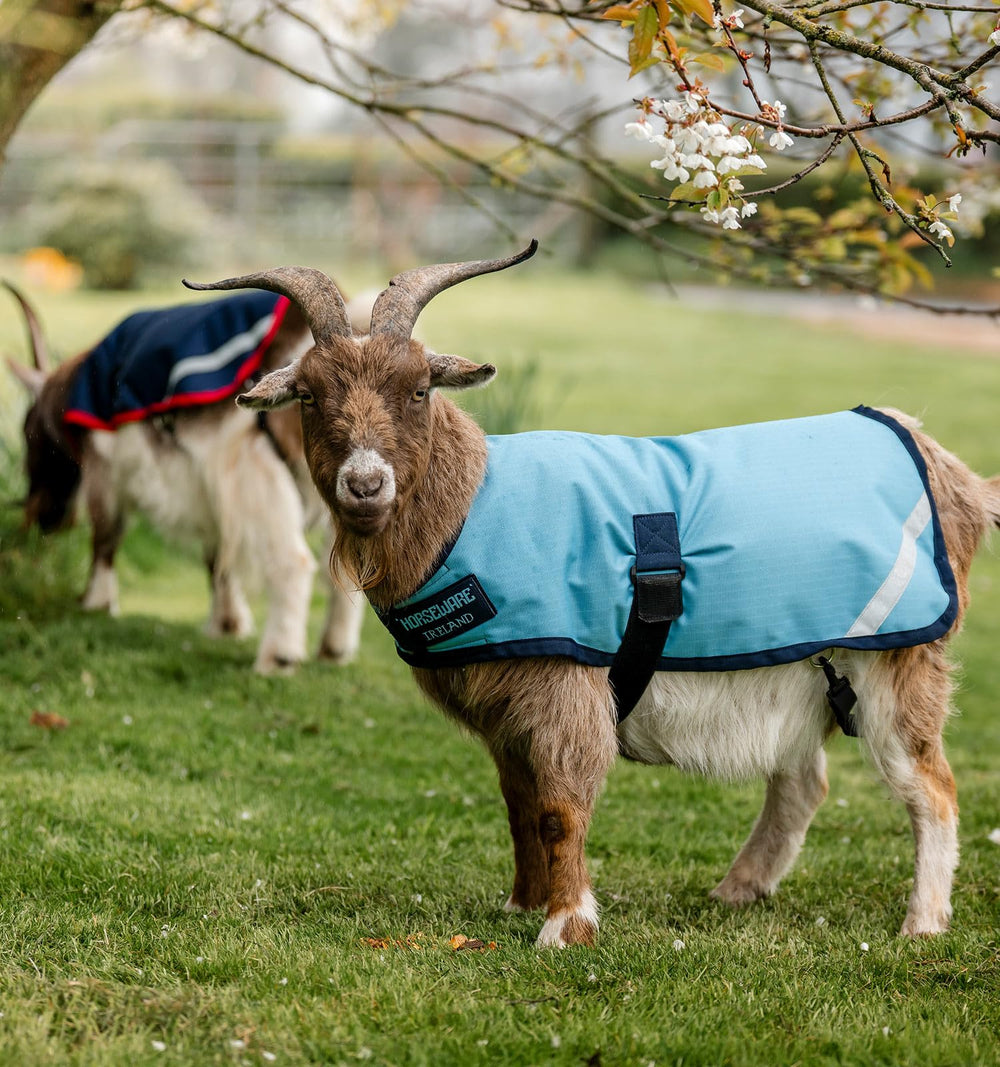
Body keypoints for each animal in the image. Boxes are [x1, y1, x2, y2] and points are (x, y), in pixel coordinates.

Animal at [5, 281, 366, 673]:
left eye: (27, 431)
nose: (39, 518)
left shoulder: (106, 470)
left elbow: (105, 536)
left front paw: (97, 606)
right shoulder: (210, 488)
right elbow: (218, 557)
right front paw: (227, 624)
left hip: (258, 470)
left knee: (292, 561)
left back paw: (279, 657)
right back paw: (334, 650)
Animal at [184, 243, 1000, 946]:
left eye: (417, 389)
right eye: (309, 395)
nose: (364, 483)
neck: (471, 508)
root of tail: (950, 470)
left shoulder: (563, 685)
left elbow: (559, 807)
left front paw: (566, 924)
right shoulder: (504, 707)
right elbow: (519, 805)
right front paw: (522, 903)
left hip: (898, 661)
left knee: (931, 786)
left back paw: (923, 923)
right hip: (803, 668)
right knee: (803, 781)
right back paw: (739, 888)